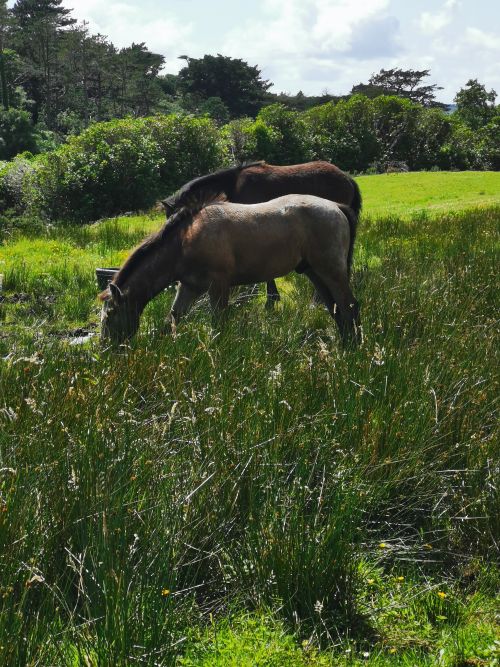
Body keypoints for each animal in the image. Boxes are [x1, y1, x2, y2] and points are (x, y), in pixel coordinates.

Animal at [99, 193, 361, 347]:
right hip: (314, 272)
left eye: (110, 314)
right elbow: (171, 319)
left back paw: (354, 349)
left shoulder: (218, 286)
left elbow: (218, 325)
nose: (105, 349)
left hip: (331, 270)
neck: (184, 241)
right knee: (335, 308)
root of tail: (336, 206)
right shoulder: (189, 287)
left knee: (349, 306)